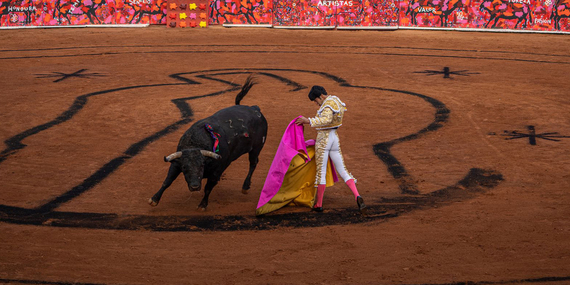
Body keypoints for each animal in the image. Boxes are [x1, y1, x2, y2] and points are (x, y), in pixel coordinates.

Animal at [149, 76, 268, 210]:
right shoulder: (176, 163)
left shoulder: (216, 172)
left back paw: (245, 187)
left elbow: (208, 188)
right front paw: (154, 199)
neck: (196, 143)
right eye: (184, 167)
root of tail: (255, 108)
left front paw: (202, 204)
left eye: (201, 165)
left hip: (257, 148)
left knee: (253, 163)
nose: (195, 186)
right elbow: (167, 181)